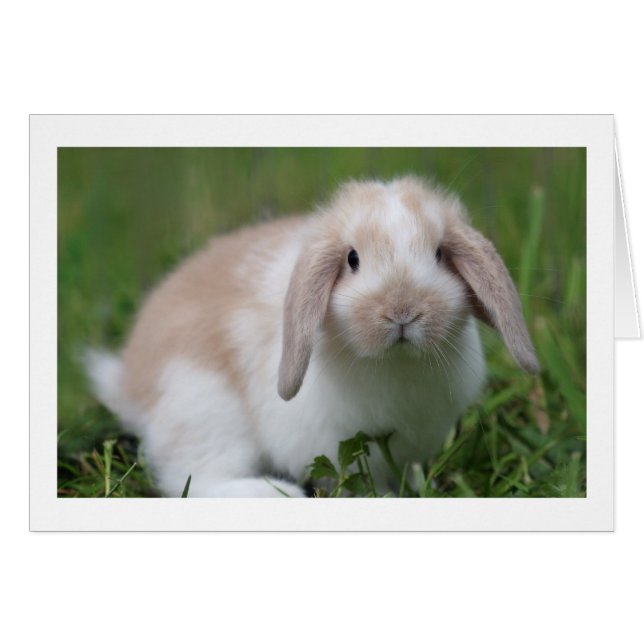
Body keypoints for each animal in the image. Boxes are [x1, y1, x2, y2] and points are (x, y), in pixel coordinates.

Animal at [86, 176, 539, 497]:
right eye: (352, 259)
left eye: (440, 255)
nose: (402, 311)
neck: (395, 363)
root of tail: (129, 382)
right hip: (204, 412)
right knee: (195, 478)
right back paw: (269, 493)